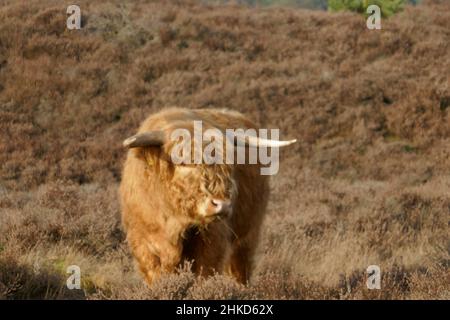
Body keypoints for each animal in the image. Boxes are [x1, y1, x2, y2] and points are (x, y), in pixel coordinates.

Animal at [119, 108, 296, 284]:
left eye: (227, 165)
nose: (222, 205)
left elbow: (205, 275)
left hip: (248, 234)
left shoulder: (212, 243)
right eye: (183, 162)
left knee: (239, 269)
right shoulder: (143, 244)